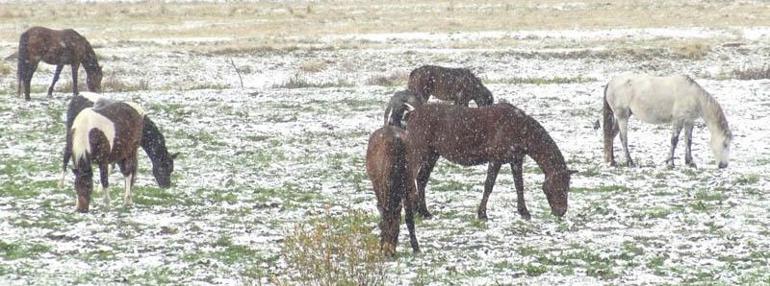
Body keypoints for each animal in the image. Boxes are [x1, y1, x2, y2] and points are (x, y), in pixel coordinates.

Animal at [366, 125, 420, 255]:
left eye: (396, 227)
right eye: (383, 226)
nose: (388, 251)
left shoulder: (408, 187)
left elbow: (409, 218)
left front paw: (415, 246)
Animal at [402, 104, 568, 251]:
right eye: (559, 186)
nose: (561, 212)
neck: (519, 127)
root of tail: (411, 114)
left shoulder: (516, 160)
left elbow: (519, 186)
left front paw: (524, 212)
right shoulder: (495, 160)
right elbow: (489, 185)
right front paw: (482, 214)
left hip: (432, 154)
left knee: (422, 180)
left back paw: (424, 212)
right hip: (419, 152)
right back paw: (417, 209)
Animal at [600, 72, 732, 169]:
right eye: (725, 144)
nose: (724, 165)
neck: (694, 96)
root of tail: (611, 82)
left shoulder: (689, 121)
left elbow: (688, 141)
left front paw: (690, 162)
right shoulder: (678, 120)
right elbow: (674, 140)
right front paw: (670, 163)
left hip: (621, 117)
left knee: (611, 135)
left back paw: (612, 161)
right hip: (622, 117)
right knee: (623, 138)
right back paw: (630, 162)